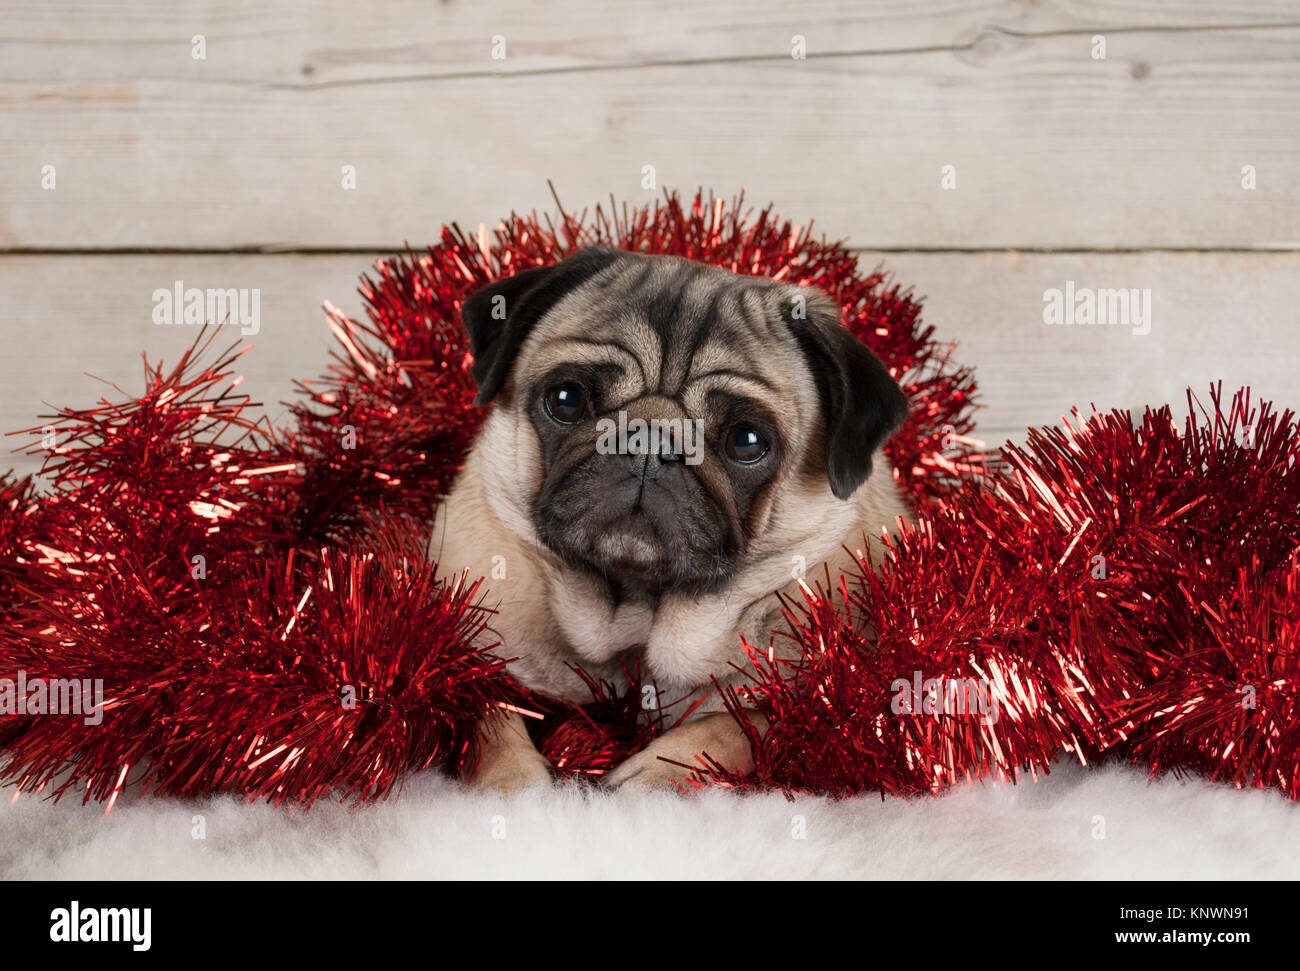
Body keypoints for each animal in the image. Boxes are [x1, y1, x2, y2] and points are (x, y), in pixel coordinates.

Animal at [431, 246, 909, 795]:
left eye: (747, 441)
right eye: (566, 400)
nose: (648, 444)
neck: (638, 623)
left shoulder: (823, 709)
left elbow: (740, 724)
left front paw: (658, 770)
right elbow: (489, 715)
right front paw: (514, 785)